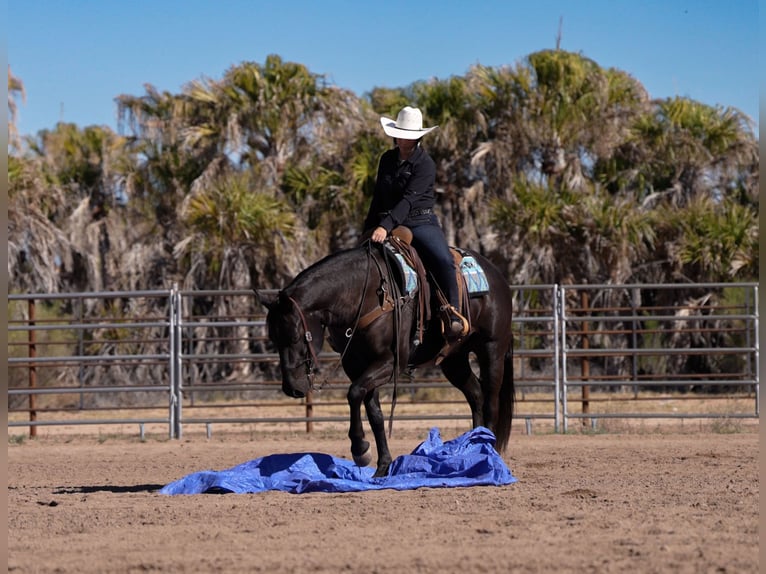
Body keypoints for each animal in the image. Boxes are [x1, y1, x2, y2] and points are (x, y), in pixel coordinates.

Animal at [255, 239, 515, 477]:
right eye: (273, 338)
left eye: (296, 336)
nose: (292, 388)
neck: (365, 294)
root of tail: (497, 276)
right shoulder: (357, 364)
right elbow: (374, 413)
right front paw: (382, 466)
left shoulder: (390, 363)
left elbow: (354, 393)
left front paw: (360, 449)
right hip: (455, 360)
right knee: (476, 395)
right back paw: (475, 451)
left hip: (491, 349)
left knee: (491, 400)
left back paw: (489, 451)